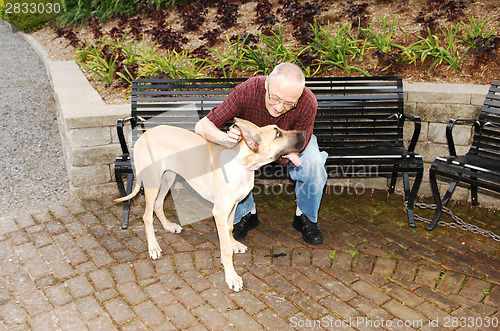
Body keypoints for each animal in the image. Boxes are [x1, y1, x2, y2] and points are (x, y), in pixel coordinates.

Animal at [115, 118, 306, 290]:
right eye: (278, 134)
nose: (305, 133)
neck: (242, 163)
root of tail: (143, 136)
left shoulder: (233, 206)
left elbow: (230, 228)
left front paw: (234, 243)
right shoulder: (220, 212)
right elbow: (225, 248)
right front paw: (231, 277)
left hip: (168, 176)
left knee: (158, 204)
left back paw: (169, 226)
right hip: (153, 181)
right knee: (147, 216)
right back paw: (153, 247)